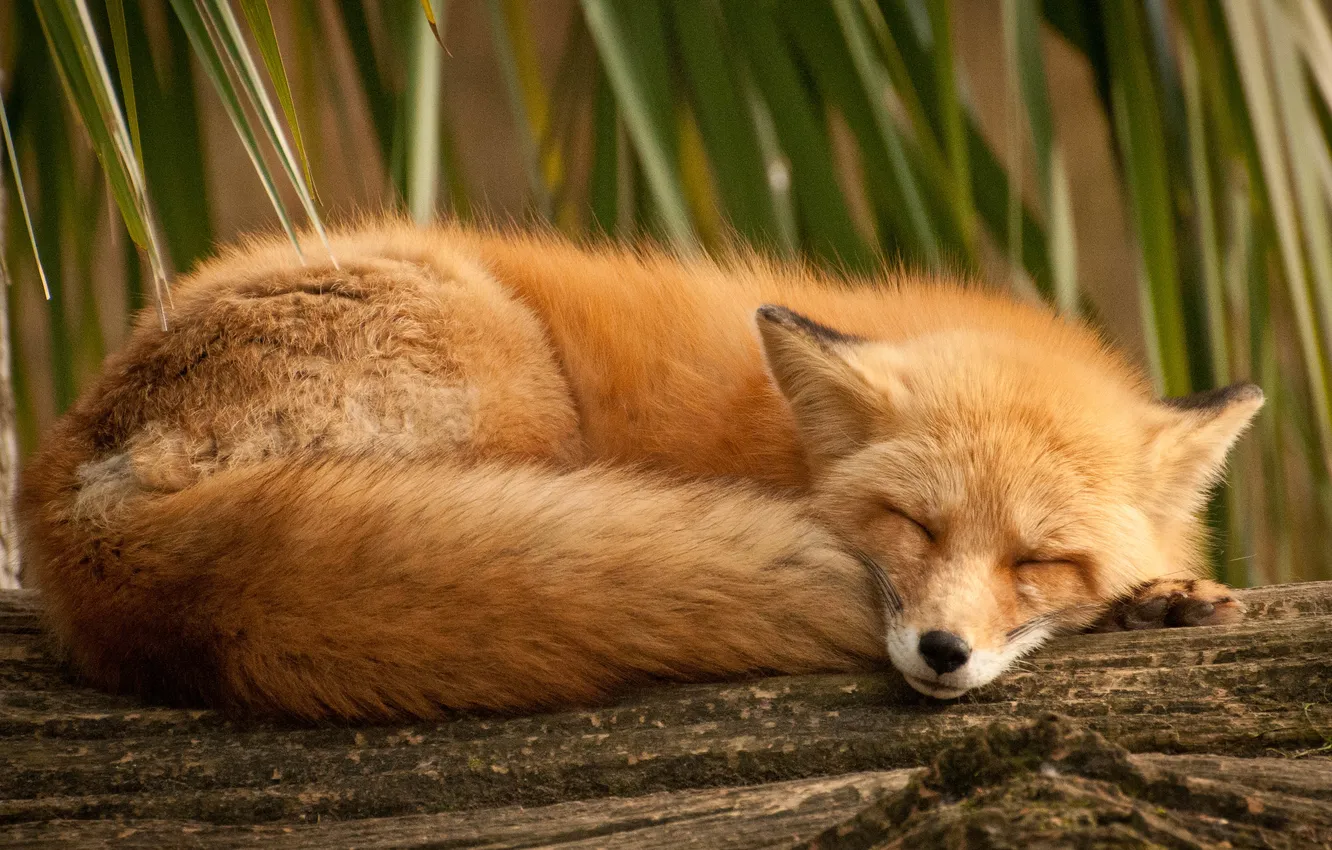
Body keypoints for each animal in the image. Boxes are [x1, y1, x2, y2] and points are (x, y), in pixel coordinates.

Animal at [17, 221, 1262, 720]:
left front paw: (1165, 593)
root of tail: (64, 485)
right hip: (513, 383)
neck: (779, 439)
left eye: (1038, 558)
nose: (941, 652)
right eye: (912, 525)